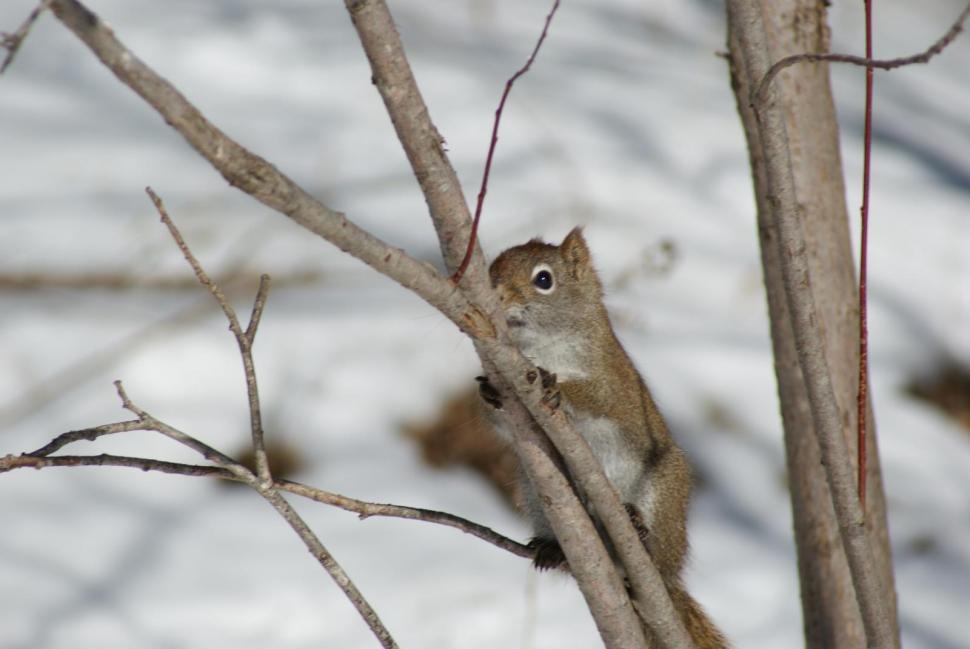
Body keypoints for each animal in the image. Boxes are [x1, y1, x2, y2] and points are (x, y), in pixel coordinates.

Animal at [478, 227, 728, 649]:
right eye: (494, 266)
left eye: (543, 279)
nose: (493, 292)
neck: (538, 348)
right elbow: (502, 421)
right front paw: (487, 392)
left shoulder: (613, 383)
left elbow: (597, 397)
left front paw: (553, 384)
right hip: (534, 493)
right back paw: (552, 549)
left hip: (663, 488)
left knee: (658, 552)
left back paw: (640, 531)